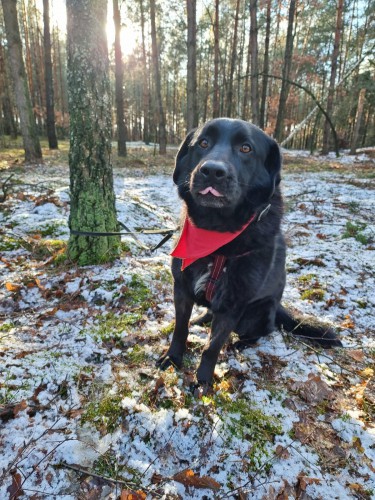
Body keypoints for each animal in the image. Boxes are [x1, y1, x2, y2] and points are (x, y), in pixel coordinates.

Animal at [157, 119, 342, 384]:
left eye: (246, 148)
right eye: (203, 143)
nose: (212, 171)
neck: (217, 235)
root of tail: (278, 308)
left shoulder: (234, 305)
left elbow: (212, 347)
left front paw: (203, 382)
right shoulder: (181, 288)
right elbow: (180, 329)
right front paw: (173, 358)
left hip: (256, 314)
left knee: (262, 332)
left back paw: (240, 344)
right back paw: (203, 319)